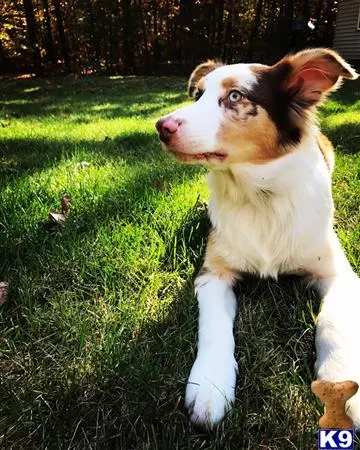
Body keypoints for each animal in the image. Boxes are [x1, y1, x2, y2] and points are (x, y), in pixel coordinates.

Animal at [155, 49, 360, 428]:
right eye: (198, 95)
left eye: (235, 96)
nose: (161, 127)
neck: (259, 196)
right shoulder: (213, 274)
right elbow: (214, 326)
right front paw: (210, 385)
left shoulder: (339, 273)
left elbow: (332, 322)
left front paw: (342, 387)